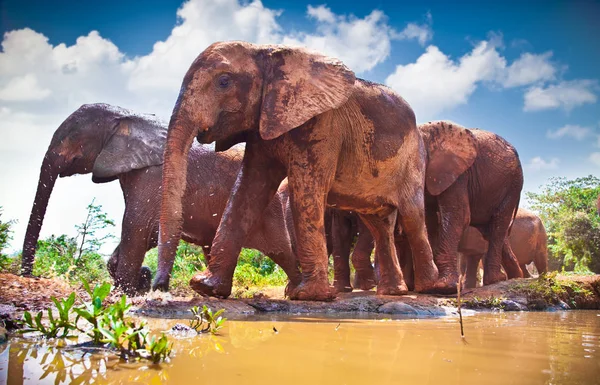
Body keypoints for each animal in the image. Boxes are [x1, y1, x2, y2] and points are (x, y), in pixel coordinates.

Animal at [21, 103, 302, 294]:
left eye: (71, 138)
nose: (32, 278)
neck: (126, 118)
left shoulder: (153, 175)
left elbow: (136, 226)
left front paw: (126, 292)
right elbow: (147, 231)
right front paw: (140, 282)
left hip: (270, 208)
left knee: (281, 251)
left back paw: (296, 291)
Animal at [157, 42, 442, 300]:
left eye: (224, 81)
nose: (160, 289)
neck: (266, 51)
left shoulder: (322, 125)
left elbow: (305, 192)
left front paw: (307, 295)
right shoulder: (265, 125)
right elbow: (247, 191)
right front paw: (206, 287)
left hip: (414, 161)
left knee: (412, 217)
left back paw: (429, 289)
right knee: (379, 224)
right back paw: (393, 292)